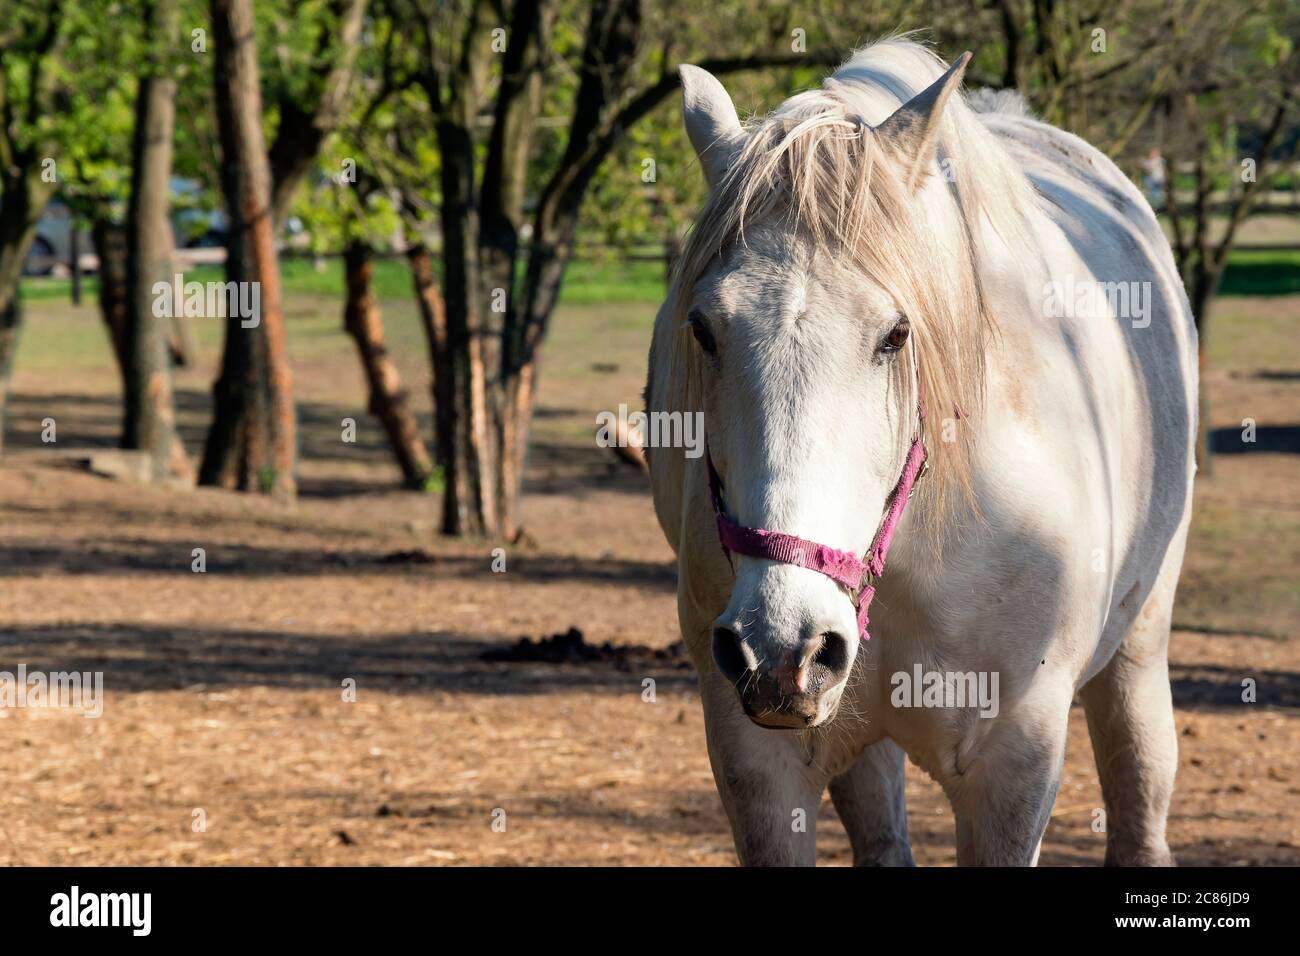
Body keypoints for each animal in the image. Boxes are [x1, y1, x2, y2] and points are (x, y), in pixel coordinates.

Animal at [644, 41, 1201, 868]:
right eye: (705, 328)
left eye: (896, 334)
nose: (781, 648)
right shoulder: (760, 766)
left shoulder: (1015, 765)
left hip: (1139, 643)